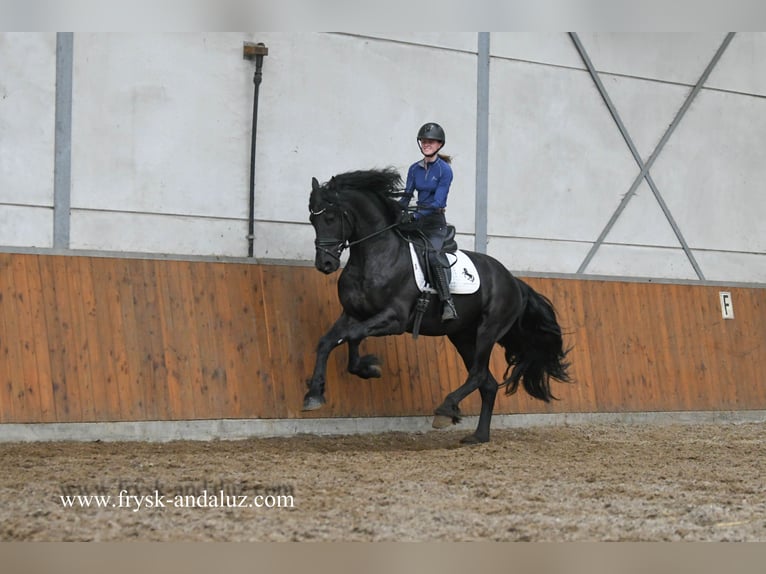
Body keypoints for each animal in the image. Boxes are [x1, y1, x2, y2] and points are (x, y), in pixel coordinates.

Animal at [304, 166, 572, 446]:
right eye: (312, 219)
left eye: (330, 217)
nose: (325, 264)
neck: (374, 256)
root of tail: (513, 281)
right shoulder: (353, 314)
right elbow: (330, 341)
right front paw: (318, 392)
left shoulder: (394, 319)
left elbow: (351, 336)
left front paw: (366, 368)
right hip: (462, 335)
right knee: (486, 383)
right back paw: (478, 435)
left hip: (487, 331)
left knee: (478, 375)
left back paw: (446, 410)